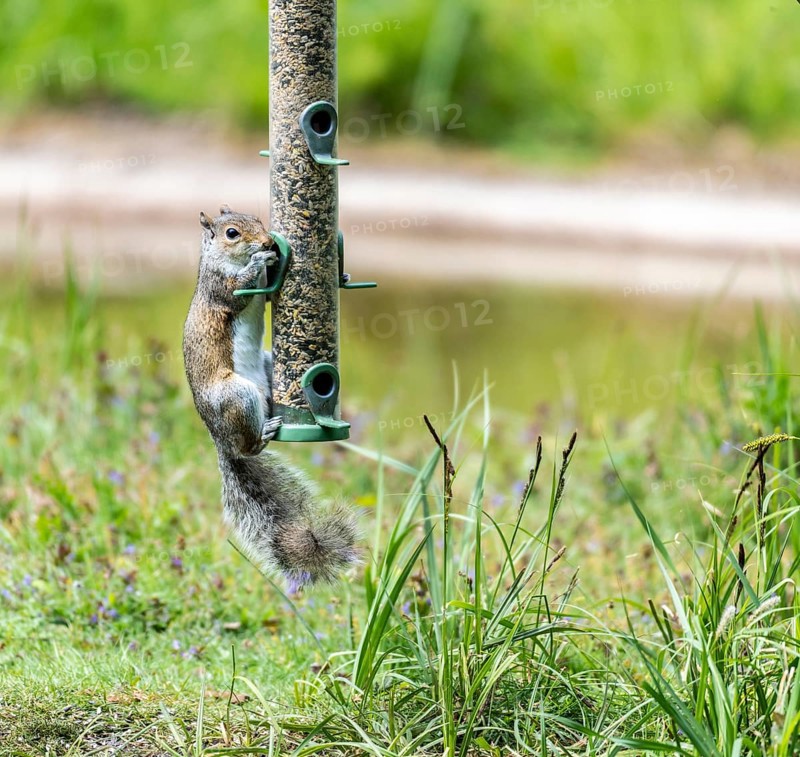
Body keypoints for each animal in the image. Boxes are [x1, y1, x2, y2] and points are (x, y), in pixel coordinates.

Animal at [182, 205, 358, 591]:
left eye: (259, 222)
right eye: (232, 233)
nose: (266, 242)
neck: (221, 259)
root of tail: (220, 439)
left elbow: (262, 296)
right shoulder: (220, 288)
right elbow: (237, 292)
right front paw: (259, 261)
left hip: (265, 367)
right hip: (236, 395)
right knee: (247, 446)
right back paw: (262, 434)